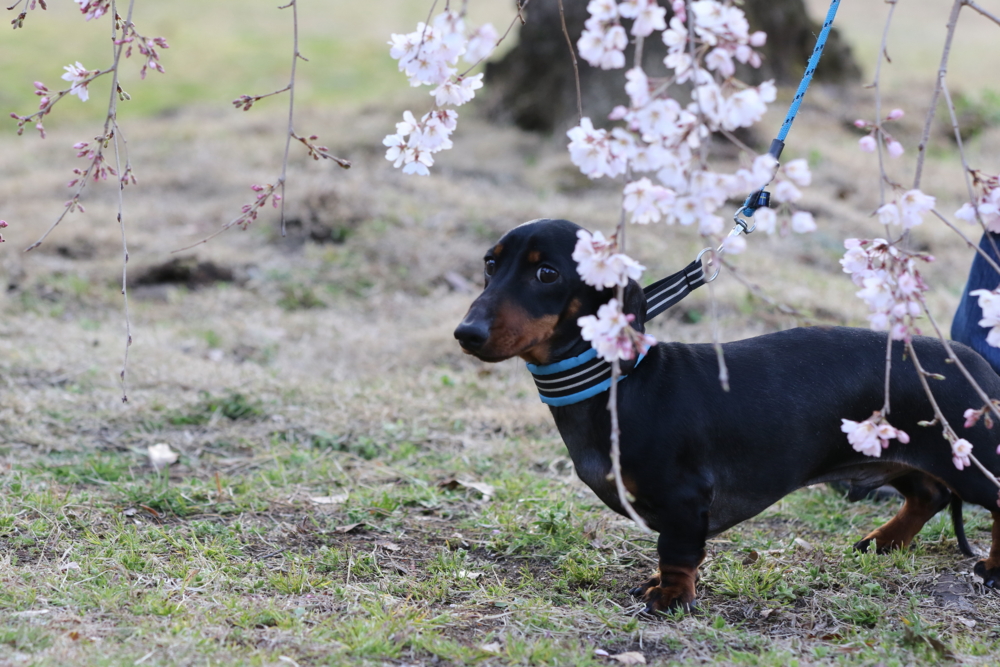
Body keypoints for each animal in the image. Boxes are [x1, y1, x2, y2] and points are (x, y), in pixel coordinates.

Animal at [454, 218, 1000, 612]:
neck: (622, 383)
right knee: (928, 494)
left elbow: (676, 552)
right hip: (889, 450)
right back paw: (885, 541)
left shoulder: (684, 498)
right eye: (489, 264)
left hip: (968, 462)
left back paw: (991, 568)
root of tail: (972, 362)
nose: (466, 333)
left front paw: (670, 596)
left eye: (546, 273)